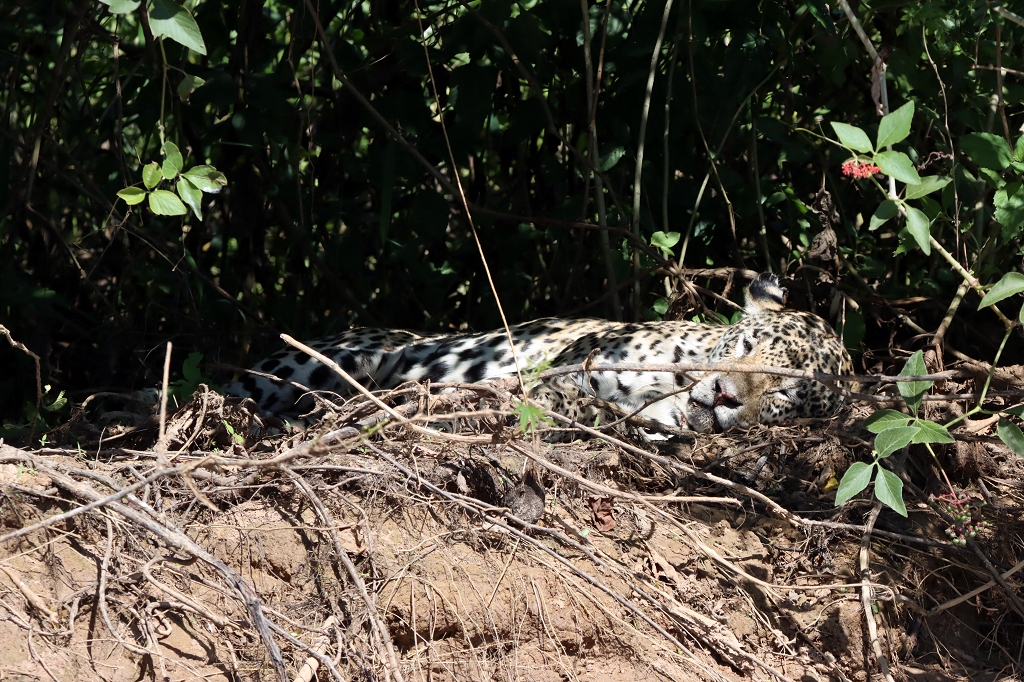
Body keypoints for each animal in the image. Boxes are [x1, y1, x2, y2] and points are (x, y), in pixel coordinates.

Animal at [226, 273, 854, 433]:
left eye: (782, 392)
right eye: (744, 347)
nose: (723, 394)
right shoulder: (573, 360)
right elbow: (565, 393)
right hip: (311, 361)